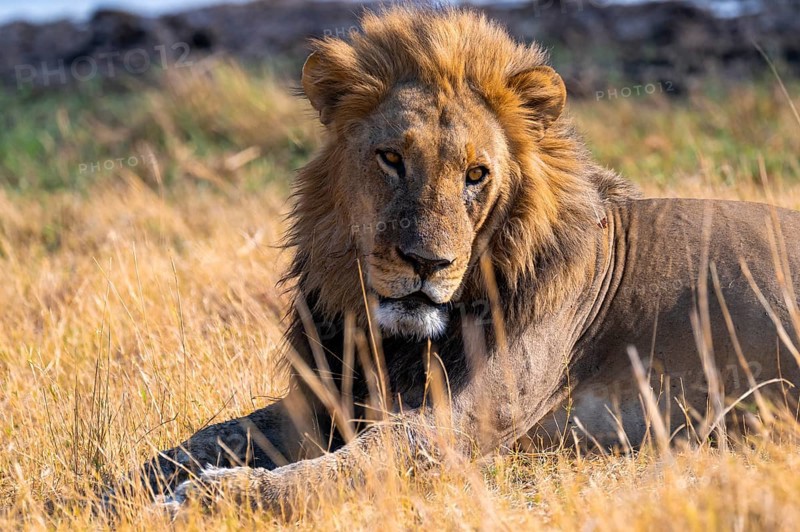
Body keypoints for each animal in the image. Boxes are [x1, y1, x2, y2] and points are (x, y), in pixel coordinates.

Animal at [127, 6, 800, 513]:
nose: (427, 262)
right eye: (392, 158)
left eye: (476, 175)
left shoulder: (468, 419)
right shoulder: (321, 399)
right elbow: (208, 435)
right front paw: (124, 488)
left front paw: (208, 498)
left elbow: (361, 459)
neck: (390, 338)